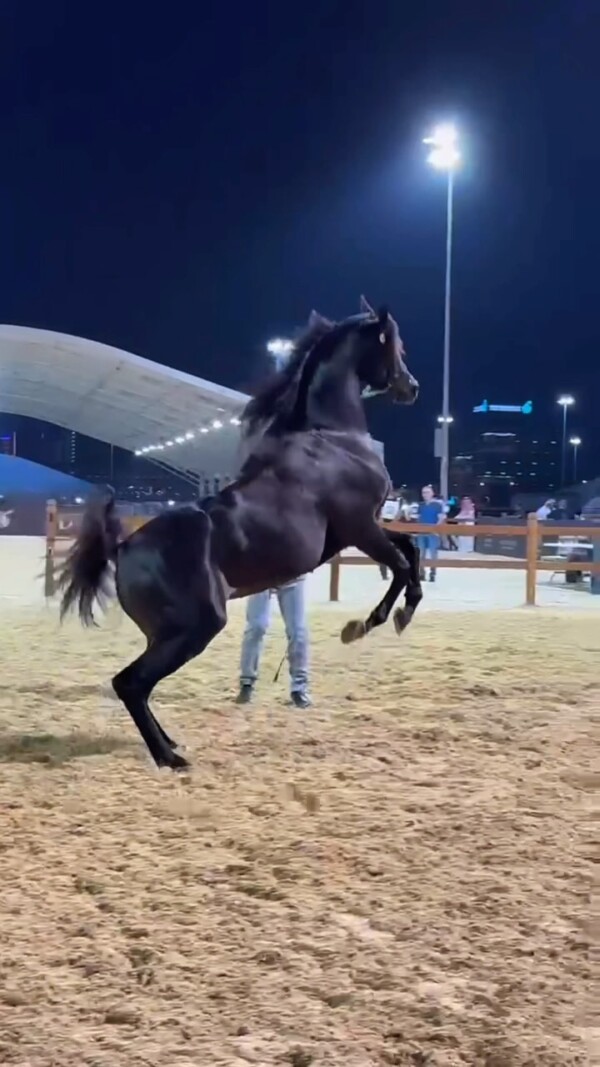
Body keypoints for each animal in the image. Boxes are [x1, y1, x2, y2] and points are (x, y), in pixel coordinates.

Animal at [59, 297, 421, 771]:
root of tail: (123, 546)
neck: (331, 437)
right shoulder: (360, 528)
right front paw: (374, 622)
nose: (411, 386)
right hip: (197, 626)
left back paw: (171, 745)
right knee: (130, 683)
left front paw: (392, 613)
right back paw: (170, 759)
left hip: (168, 632)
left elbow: (411, 549)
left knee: (138, 684)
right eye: (395, 344)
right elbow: (401, 565)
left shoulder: (362, 531)